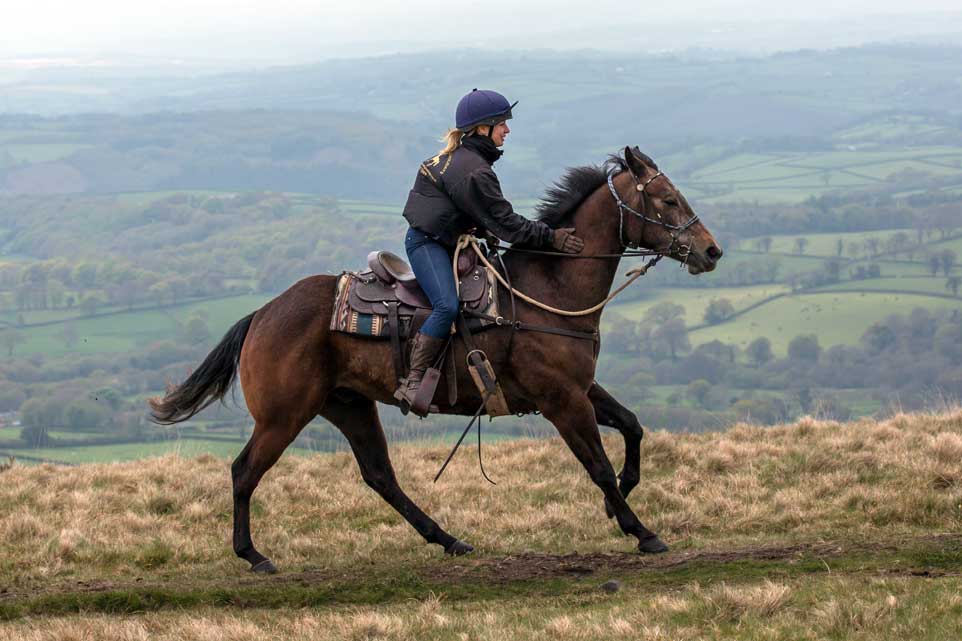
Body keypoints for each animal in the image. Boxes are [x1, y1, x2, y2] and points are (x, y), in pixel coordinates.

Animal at [150, 146, 723, 573]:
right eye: (668, 200)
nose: (712, 251)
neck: (549, 290)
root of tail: (263, 314)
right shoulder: (562, 401)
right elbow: (598, 465)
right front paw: (641, 530)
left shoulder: (580, 390)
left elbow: (632, 426)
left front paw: (620, 499)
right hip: (284, 416)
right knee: (245, 471)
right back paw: (253, 555)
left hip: (349, 405)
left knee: (380, 476)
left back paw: (448, 539)